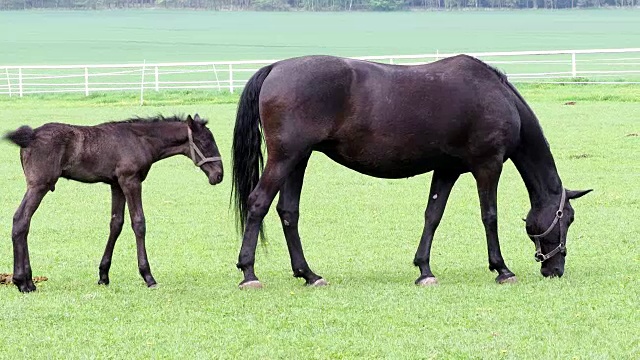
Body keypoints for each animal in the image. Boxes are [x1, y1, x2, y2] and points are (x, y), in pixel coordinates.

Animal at [5, 114, 222, 292]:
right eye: (204, 142)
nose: (219, 175)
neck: (140, 139)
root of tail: (31, 135)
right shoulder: (130, 181)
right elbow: (138, 223)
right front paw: (148, 276)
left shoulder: (116, 185)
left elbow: (116, 223)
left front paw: (103, 275)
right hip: (39, 185)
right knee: (21, 220)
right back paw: (22, 282)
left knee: (23, 222)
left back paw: (28, 280)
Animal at [230, 54, 592, 290]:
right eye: (567, 219)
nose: (555, 268)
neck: (497, 96)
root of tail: (276, 67)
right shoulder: (487, 166)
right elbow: (489, 216)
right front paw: (501, 269)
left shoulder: (447, 169)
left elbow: (433, 215)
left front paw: (424, 270)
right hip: (285, 158)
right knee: (258, 203)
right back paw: (249, 274)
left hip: (298, 160)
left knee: (288, 212)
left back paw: (308, 274)